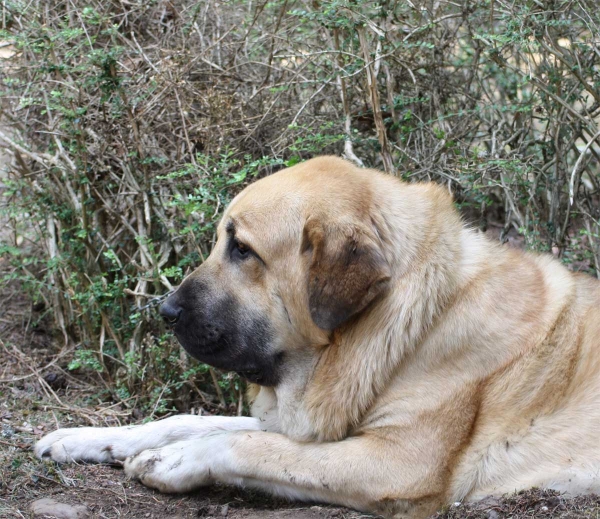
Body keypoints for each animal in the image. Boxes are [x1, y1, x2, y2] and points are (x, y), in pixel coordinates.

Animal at [36, 157, 600, 519]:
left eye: (242, 249)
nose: (165, 311)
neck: (408, 324)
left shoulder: (397, 464)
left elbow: (246, 445)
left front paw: (174, 461)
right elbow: (187, 421)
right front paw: (83, 438)